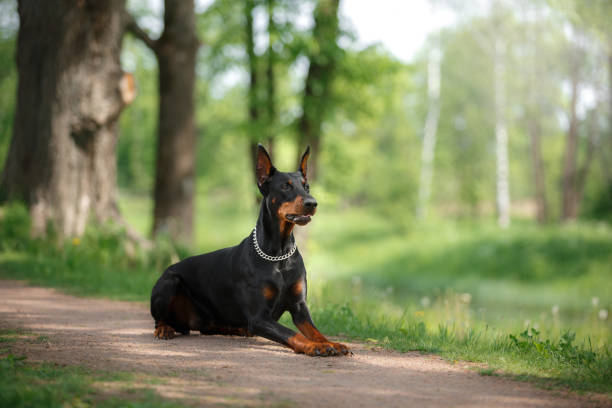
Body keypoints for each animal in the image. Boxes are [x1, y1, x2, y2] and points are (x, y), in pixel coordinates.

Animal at [151, 145, 352, 356]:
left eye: (307, 187)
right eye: (286, 186)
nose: (312, 203)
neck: (279, 255)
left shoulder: (299, 307)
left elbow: (315, 331)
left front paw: (332, 343)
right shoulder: (259, 317)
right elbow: (291, 333)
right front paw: (316, 347)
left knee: (208, 327)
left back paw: (236, 329)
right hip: (169, 282)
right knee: (159, 320)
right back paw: (164, 329)